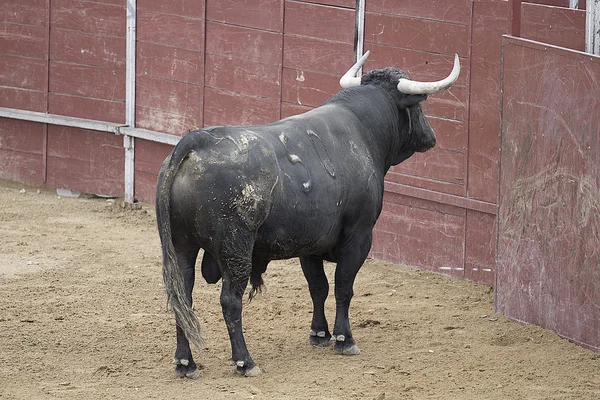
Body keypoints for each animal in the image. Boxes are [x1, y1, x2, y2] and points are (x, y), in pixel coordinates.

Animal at [155, 51, 460, 380]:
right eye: (418, 105)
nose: (430, 136)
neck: (362, 130)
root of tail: (195, 143)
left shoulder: (309, 244)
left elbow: (318, 287)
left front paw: (319, 333)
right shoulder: (359, 236)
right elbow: (343, 287)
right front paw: (344, 339)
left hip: (181, 247)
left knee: (182, 297)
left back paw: (186, 363)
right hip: (236, 250)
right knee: (230, 300)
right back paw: (245, 361)